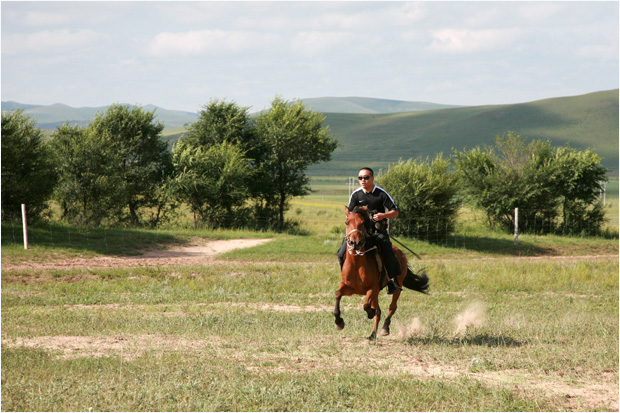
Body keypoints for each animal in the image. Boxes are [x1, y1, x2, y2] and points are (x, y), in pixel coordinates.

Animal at [332, 204, 428, 340]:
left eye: (363, 223)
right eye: (347, 222)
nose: (354, 243)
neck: (357, 264)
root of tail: (401, 253)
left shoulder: (373, 288)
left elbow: (367, 305)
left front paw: (370, 313)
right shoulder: (349, 287)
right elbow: (337, 295)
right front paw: (339, 322)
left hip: (397, 287)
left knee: (392, 307)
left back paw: (385, 328)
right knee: (380, 310)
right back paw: (372, 334)